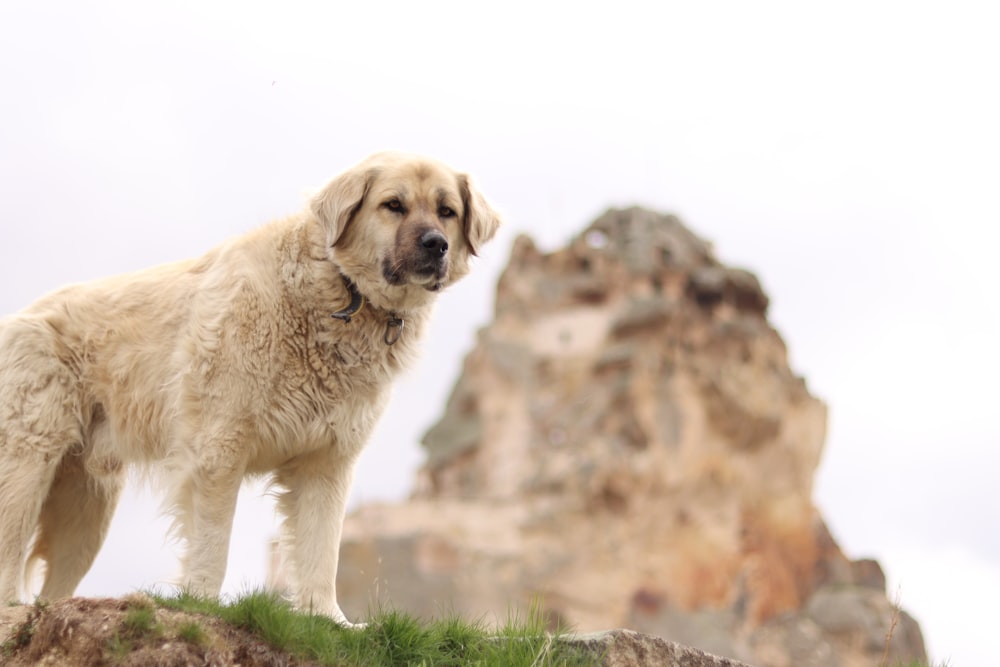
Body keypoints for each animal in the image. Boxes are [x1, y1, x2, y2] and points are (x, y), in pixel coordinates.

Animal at [0, 151, 500, 628]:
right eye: (393, 205)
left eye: (447, 211)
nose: (436, 244)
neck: (339, 293)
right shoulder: (219, 448)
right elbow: (213, 543)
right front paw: (201, 604)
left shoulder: (327, 462)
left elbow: (322, 550)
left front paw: (329, 619)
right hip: (28, 466)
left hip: (87, 507)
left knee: (54, 590)